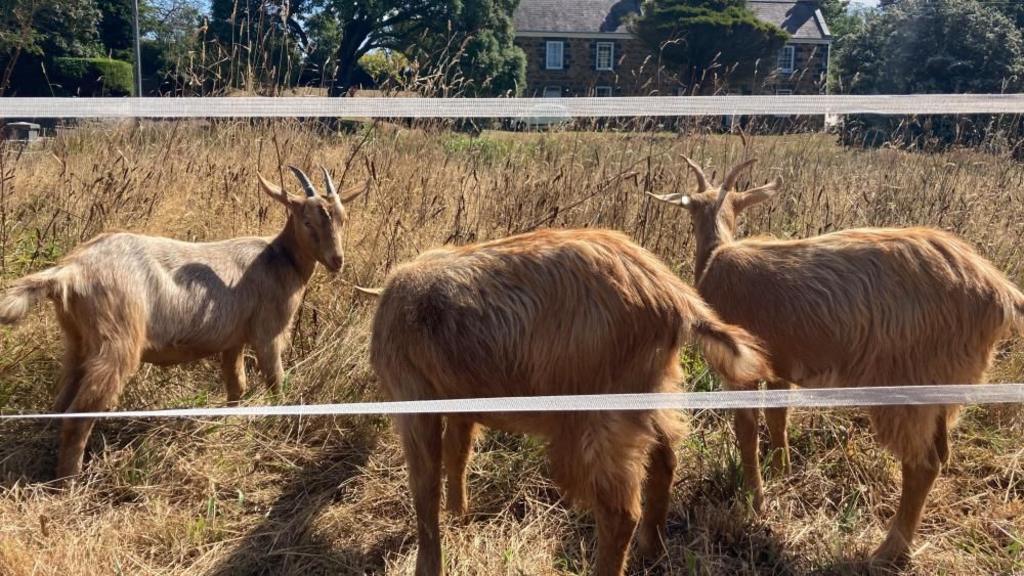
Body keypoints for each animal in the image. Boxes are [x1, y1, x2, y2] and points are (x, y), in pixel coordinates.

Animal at [0, 166, 360, 479]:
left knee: (62, 402)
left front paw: (229, 424)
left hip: (76, 339)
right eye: (306, 220)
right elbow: (276, 382)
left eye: (343, 218)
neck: (278, 258)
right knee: (82, 411)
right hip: (117, 339)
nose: (337, 261)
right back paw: (69, 481)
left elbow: (236, 386)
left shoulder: (233, 340)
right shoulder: (268, 332)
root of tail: (70, 271)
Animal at [368, 228, 773, 576]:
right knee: (664, 460)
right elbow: (458, 453)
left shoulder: (412, 396)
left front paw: (429, 565)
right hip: (655, 388)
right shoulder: (459, 401)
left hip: (599, 412)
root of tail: (674, 297)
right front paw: (458, 517)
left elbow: (424, 485)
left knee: (620, 510)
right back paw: (651, 552)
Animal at [648, 156, 1024, 564]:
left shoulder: (740, 371)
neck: (717, 256)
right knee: (940, 452)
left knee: (921, 464)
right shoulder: (780, 365)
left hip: (907, 384)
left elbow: (746, 431)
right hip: (942, 391)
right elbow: (778, 418)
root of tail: (1001, 293)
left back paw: (886, 552)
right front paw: (781, 471)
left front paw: (755, 500)